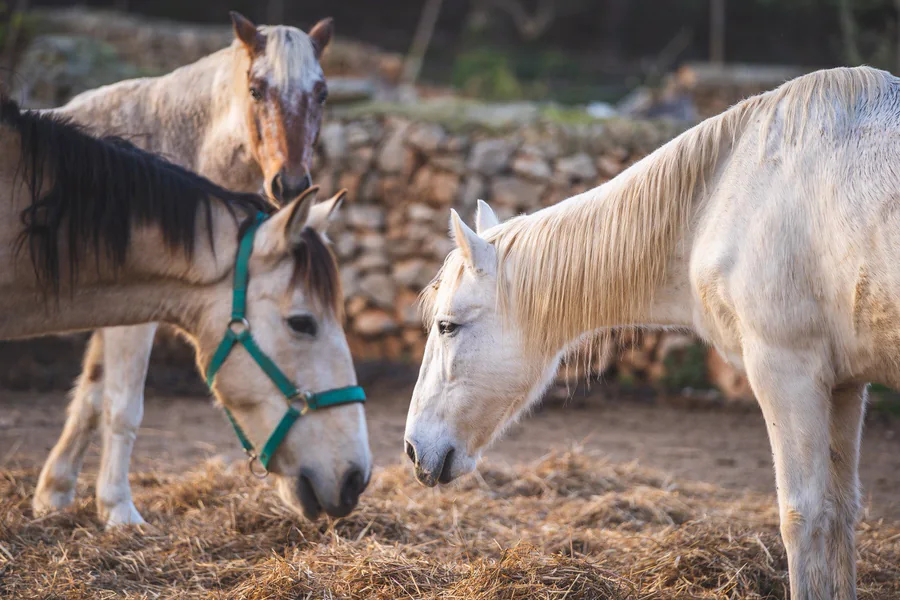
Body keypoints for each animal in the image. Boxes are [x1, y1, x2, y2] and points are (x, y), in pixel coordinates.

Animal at [0, 96, 370, 524]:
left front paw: (56, 495)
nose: (355, 479)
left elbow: (92, 394)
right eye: (302, 323)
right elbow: (120, 405)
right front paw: (120, 511)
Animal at [406, 66, 900, 599]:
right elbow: (839, 516)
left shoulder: (788, 372)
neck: (718, 198)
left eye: (447, 326)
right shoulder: (845, 383)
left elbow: (803, 517)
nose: (411, 448)